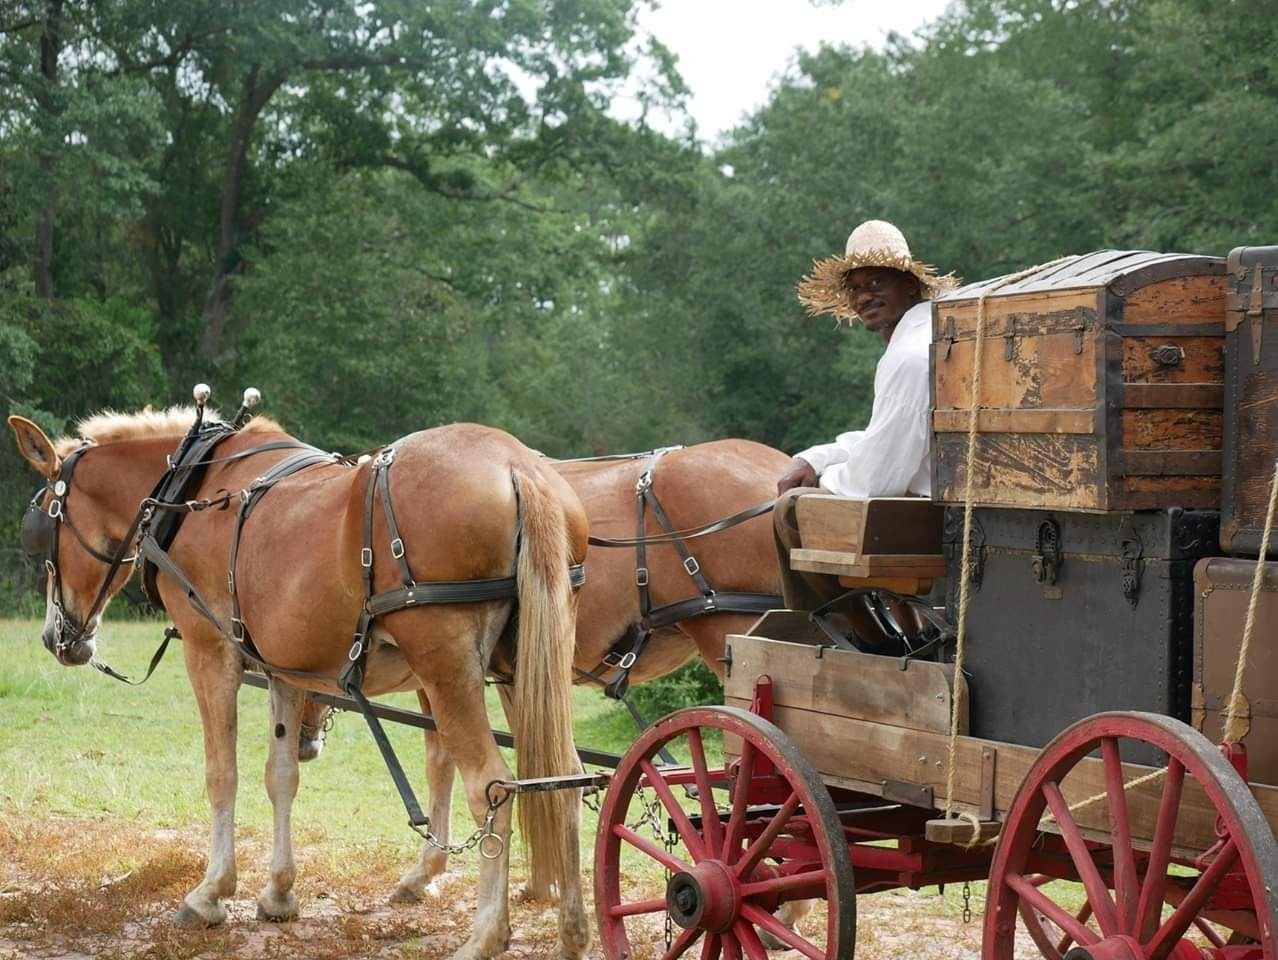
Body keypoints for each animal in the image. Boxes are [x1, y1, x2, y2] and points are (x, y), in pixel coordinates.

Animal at [9, 407, 591, 960]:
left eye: (43, 530)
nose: (56, 638)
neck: (191, 490)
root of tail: (517, 465)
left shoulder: (209, 650)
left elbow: (222, 773)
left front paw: (210, 893)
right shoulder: (283, 669)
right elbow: (281, 775)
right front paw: (278, 892)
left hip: (447, 666)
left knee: (492, 786)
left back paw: (485, 935)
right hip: (523, 671)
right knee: (565, 777)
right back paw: (574, 931)